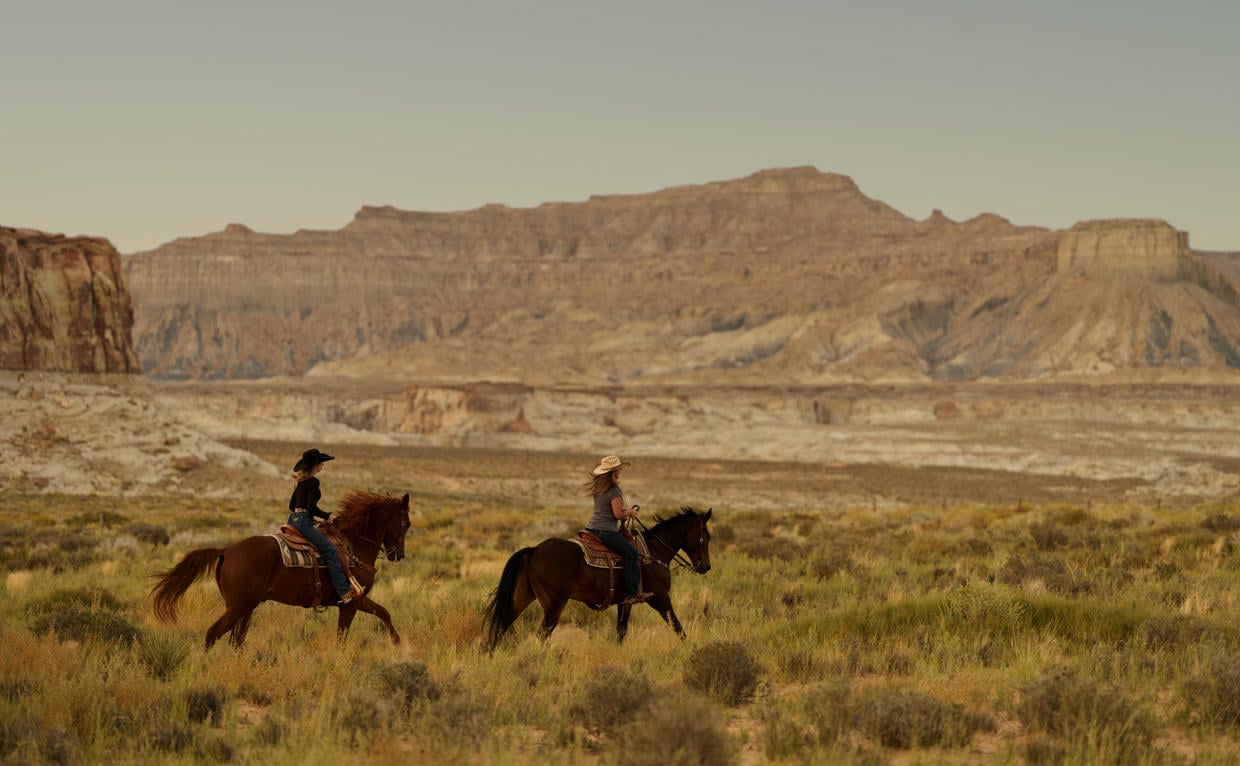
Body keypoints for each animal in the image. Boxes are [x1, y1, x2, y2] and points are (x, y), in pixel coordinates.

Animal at [151, 488, 411, 644]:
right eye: (406, 523)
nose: (398, 555)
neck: (354, 546)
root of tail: (226, 551)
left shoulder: (359, 600)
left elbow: (384, 613)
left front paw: (398, 643)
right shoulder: (350, 603)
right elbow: (342, 637)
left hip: (246, 607)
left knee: (236, 640)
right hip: (238, 607)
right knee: (213, 633)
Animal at [483, 503, 719, 649]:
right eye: (704, 537)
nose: (705, 566)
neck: (653, 552)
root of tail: (534, 550)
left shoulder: (625, 603)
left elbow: (621, 632)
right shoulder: (660, 598)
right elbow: (678, 626)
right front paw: (691, 649)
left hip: (522, 596)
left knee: (502, 625)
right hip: (553, 605)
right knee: (542, 634)